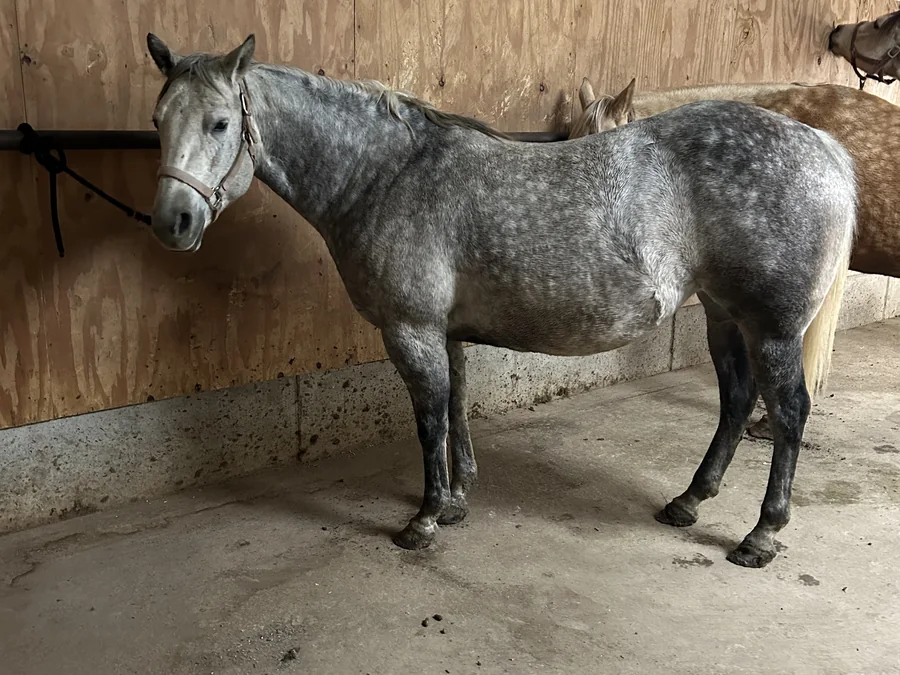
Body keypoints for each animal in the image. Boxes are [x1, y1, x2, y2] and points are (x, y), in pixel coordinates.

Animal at [145, 34, 856, 568]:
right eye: (157, 122)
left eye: (220, 123)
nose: (172, 222)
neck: (385, 175)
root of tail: (825, 149)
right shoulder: (445, 333)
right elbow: (455, 408)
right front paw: (458, 502)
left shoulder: (411, 331)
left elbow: (429, 418)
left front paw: (426, 518)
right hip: (722, 314)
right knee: (736, 400)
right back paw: (689, 501)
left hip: (771, 329)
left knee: (788, 412)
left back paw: (760, 535)